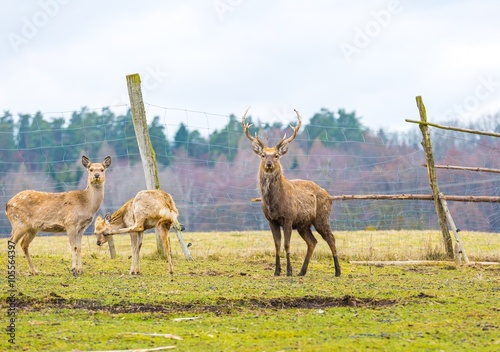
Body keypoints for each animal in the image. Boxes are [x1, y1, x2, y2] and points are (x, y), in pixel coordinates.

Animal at [241, 109, 342, 278]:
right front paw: (277, 271)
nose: (269, 164)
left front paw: (288, 271)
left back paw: (337, 271)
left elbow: (287, 244)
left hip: (322, 216)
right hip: (303, 224)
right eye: (263, 155)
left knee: (331, 238)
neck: (273, 203)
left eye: (276, 155)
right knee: (312, 241)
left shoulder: (288, 217)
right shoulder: (271, 220)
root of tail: (329, 196)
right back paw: (302, 271)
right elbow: (276, 244)